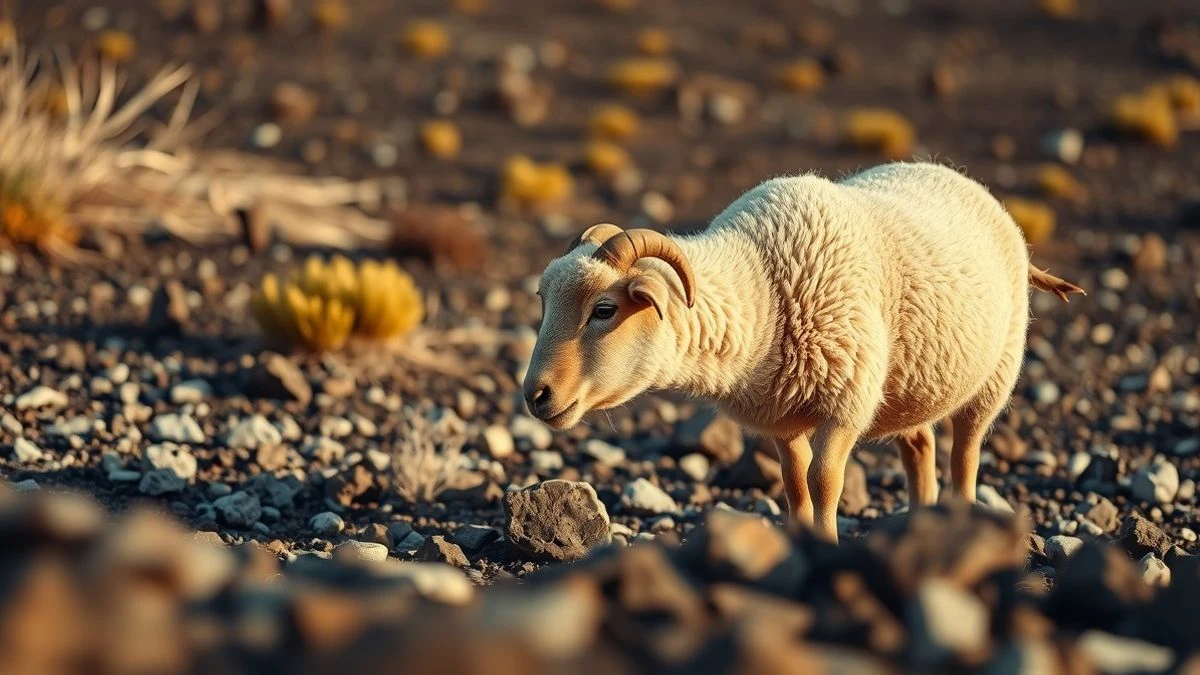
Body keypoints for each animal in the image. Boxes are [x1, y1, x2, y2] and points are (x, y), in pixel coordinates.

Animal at [524, 162, 1083, 542]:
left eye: (604, 309)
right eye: (544, 301)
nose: (534, 394)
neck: (762, 288)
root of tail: (960, 178)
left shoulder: (846, 402)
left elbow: (824, 481)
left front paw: (827, 545)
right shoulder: (781, 416)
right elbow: (794, 484)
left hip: (994, 376)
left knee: (965, 456)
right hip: (909, 384)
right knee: (921, 447)